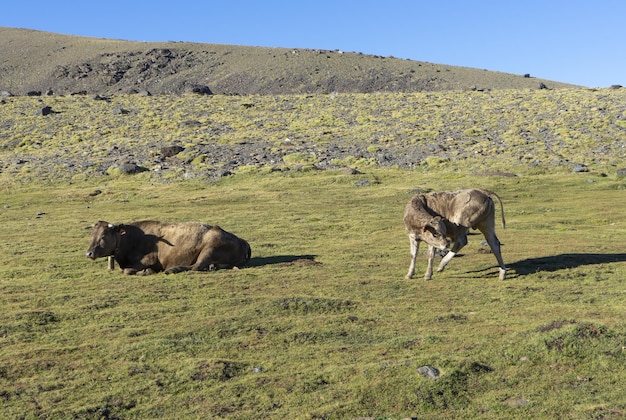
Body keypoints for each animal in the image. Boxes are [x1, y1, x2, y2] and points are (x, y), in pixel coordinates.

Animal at [86, 220, 251, 276]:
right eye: (92, 235)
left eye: (103, 236)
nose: (89, 253)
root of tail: (242, 241)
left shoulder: (148, 260)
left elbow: (127, 270)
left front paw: (146, 271)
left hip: (209, 249)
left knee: (195, 266)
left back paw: (173, 269)